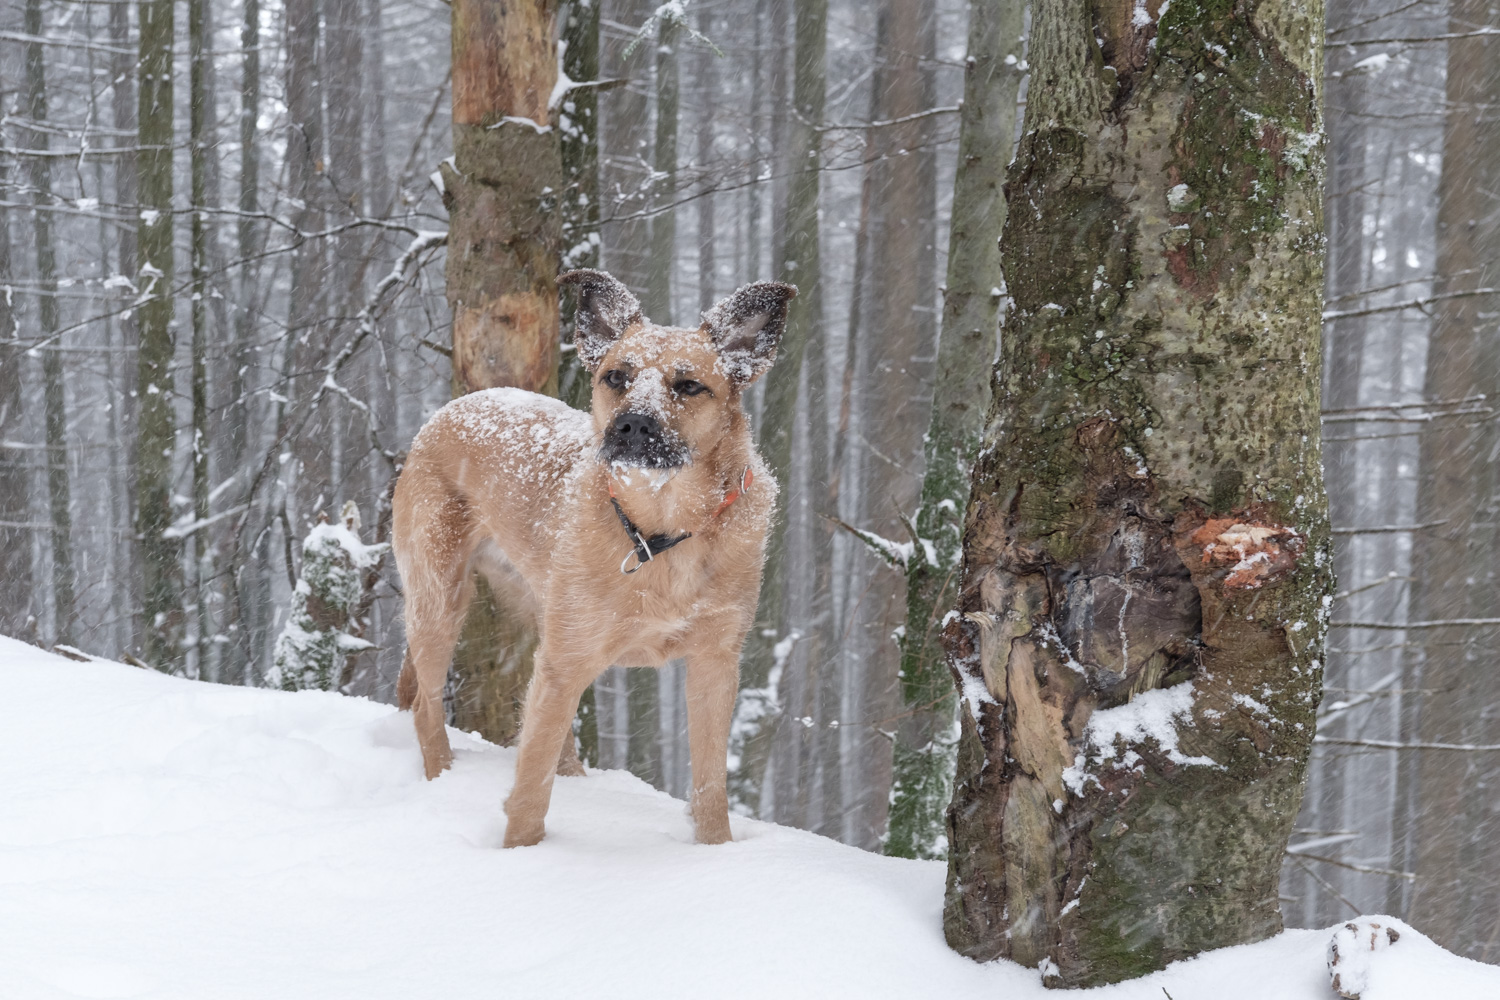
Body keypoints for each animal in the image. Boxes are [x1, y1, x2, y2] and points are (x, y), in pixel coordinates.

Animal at [393, 269, 804, 851]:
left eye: (688, 386)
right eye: (616, 377)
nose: (632, 426)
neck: (662, 530)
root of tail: (452, 410)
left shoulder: (715, 662)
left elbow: (710, 787)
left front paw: (715, 853)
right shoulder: (567, 663)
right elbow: (531, 784)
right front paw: (520, 855)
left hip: (535, 622)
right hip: (441, 600)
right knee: (428, 708)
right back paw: (442, 780)